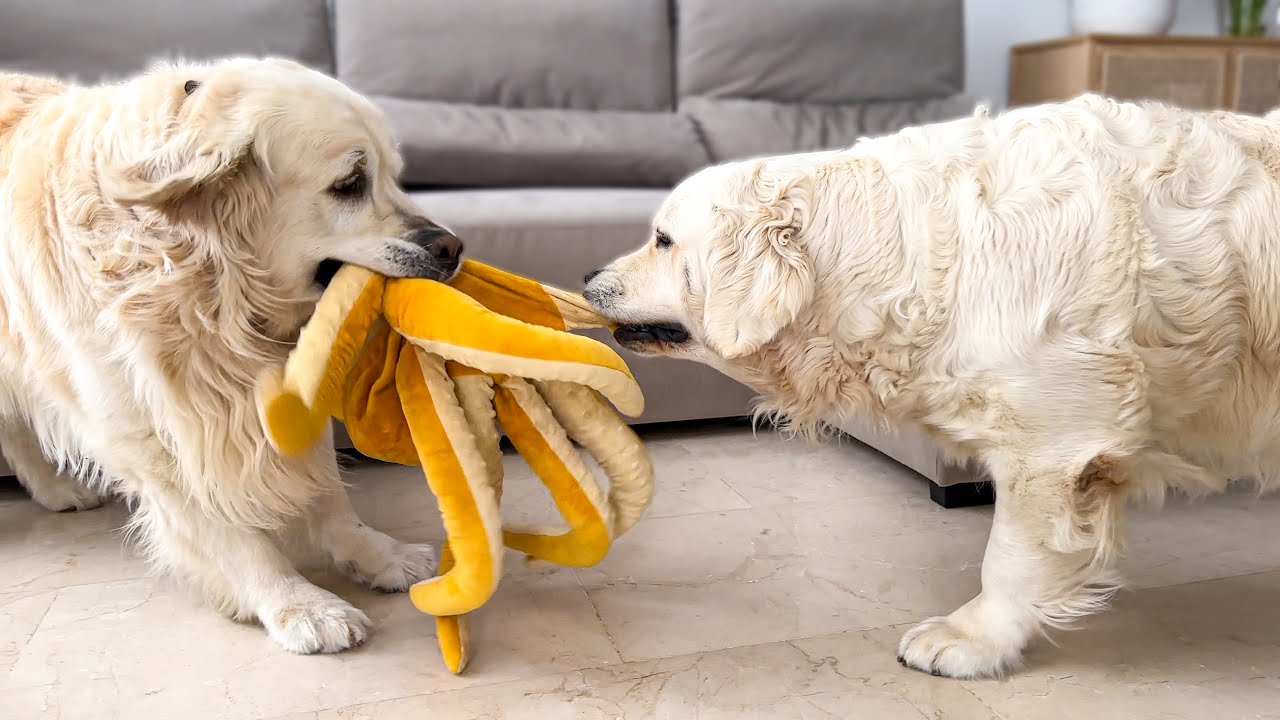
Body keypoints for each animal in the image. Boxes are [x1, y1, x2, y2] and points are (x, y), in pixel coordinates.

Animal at [0, 56, 460, 650]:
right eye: (349, 185)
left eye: (395, 175)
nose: (454, 248)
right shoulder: (154, 436)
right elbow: (229, 534)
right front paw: (298, 604)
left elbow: (328, 493)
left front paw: (377, 554)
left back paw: (57, 490)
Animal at [588, 96, 1280, 676]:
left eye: (663, 240)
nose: (589, 275)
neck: (910, 258)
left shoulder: (1053, 442)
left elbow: (1010, 555)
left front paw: (973, 640)